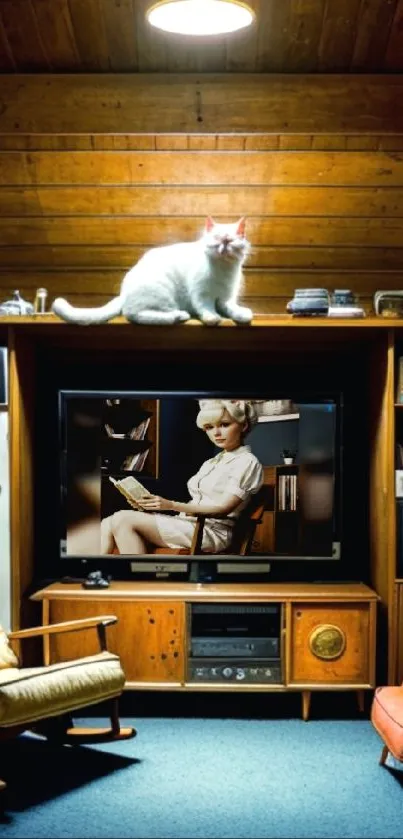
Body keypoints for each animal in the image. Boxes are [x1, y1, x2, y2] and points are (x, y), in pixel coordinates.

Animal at [50, 218, 252, 326]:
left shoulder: (226, 297)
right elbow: (206, 307)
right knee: (138, 315)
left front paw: (241, 314)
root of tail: (123, 293)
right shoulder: (202, 294)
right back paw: (179, 315)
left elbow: (231, 308)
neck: (224, 271)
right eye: (217, 239)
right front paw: (212, 318)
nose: (224, 245)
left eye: (231, 241)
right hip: (163, 294)